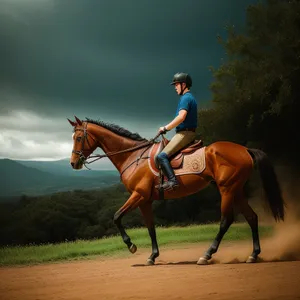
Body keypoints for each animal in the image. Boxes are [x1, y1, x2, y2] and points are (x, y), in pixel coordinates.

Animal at [68, 116, 286, 266]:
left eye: (78, 137)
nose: (73, 163)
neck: (133, 156)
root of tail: (244, 149)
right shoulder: (145, 200)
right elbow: (150, 227)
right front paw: (152, 256)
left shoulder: (138, 195)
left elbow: (116, 217)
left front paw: (131, 246)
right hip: (237, 190)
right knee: (252, 217)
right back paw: (253, 254)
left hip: (227, 189)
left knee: (226, 220)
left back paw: (207, 255)